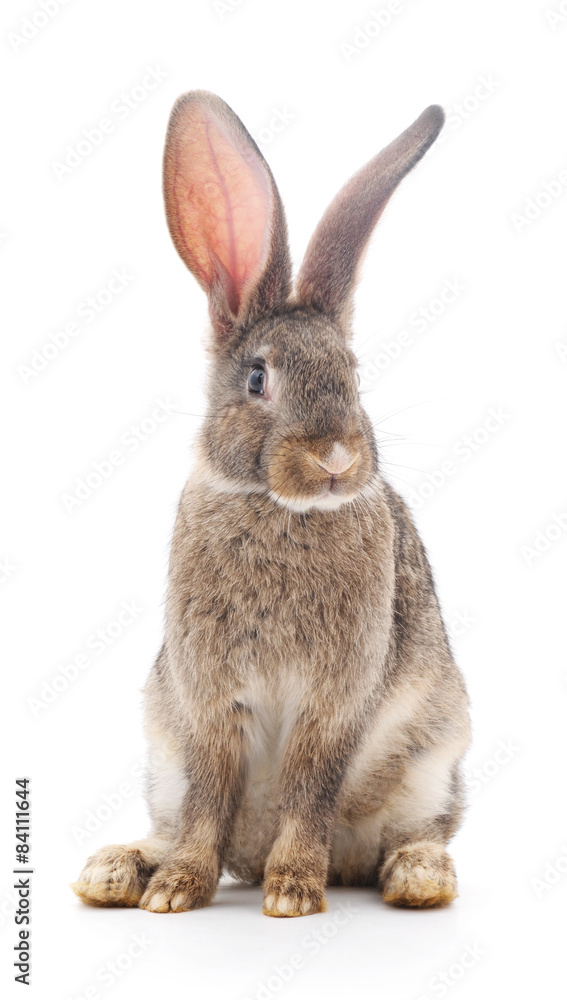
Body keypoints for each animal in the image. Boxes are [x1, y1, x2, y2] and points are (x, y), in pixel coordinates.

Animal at [72, 91, 471, 917]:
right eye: (257, 379)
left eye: (352, 373)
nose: (336, 458)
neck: (281, 509)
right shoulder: (207, 703)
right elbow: (208, 798)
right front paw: (176, 891)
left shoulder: (334, 702)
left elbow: (309, 789)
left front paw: (291, 893)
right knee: (176, 823)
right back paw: (116, 872)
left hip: (428, 762)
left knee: (419, 833)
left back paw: (414, 880)